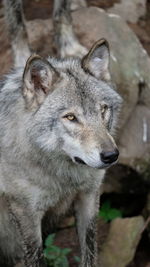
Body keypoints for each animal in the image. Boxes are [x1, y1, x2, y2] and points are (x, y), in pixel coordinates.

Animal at [0, 0, 122, 267]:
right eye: (71, 117)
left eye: (103, 110)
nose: (111, 156)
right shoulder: (27, 217)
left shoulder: (88, 198)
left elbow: (90, 253)